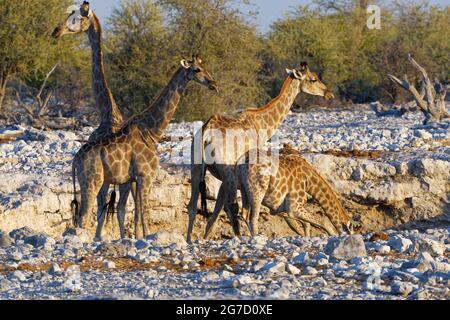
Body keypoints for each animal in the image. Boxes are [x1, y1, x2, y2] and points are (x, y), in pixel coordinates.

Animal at [71, 55, 217, 240]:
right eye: (196, 69)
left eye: (204, 67)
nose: (213, 83)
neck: (151, 131)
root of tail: (75, 160)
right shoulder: (146, 176)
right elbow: (145, 213)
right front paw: (147, 237)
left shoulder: (132, 179)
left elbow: (135, 212)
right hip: (92, 181)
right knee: (83, 215)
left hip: (93, 181)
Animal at [186, 62, 334, 241]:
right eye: (313, 79)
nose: (329, 94)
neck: (262, 123)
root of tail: (206, 133)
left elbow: (215, 212)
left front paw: (206, 236)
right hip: (227, 173)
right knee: (232, 206)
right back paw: (239, 236)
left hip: (196, 167)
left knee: (192, 206)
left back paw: (188, 240)